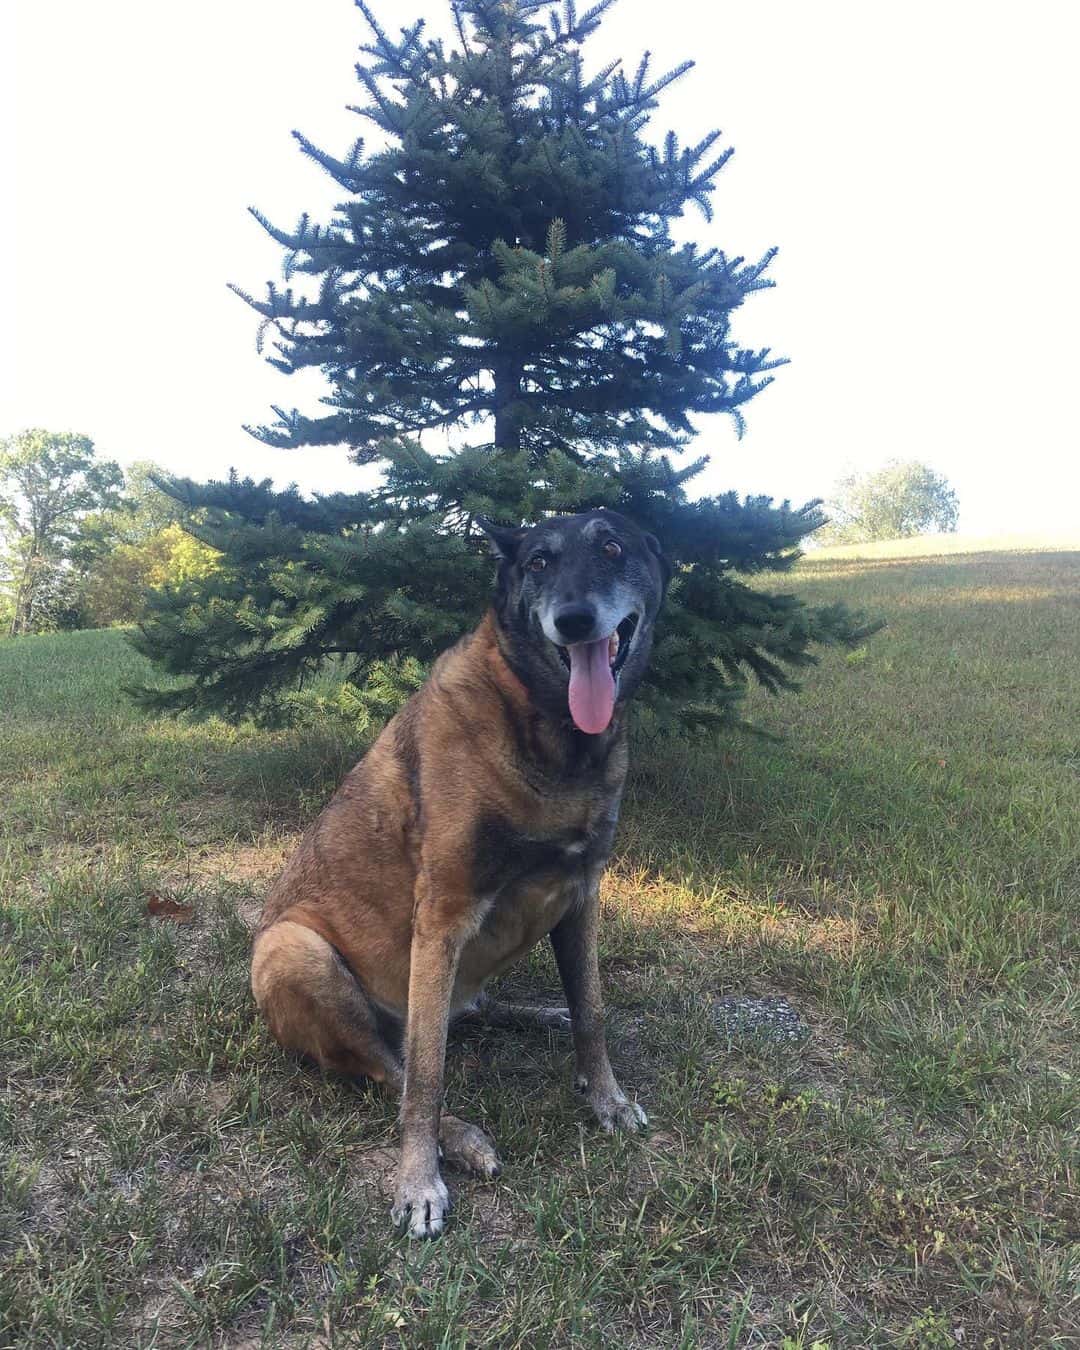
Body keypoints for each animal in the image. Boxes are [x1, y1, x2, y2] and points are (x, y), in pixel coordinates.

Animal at [252, 507, 666, 1236]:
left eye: (613, 548)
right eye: (538, 562)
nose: (575, 620)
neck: (545, 725)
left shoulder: (581, 895)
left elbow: (592, 1009)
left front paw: (606, 1096)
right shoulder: (443, 915)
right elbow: (425, 1077)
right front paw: (419, 1180)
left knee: (474, 1012)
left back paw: (541, 1015)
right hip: (293, 949)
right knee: (395, 1066)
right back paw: (459, 1137)